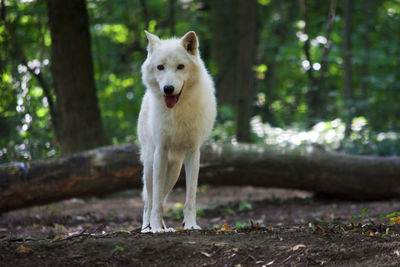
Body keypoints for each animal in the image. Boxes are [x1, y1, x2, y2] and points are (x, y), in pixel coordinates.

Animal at [139, 30, 217, 233]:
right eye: (160, 67)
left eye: (180, 67)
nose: (168, 89)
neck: (178, 110)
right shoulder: (161, 151)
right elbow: (156, 200)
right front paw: (156, 228)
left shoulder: (193, 152)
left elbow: (190, 197)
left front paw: (190, 225)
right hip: (150, 164)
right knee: (150, 200)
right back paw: (148, 227)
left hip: (174, 171)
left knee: (162, 197)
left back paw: (164, 227)